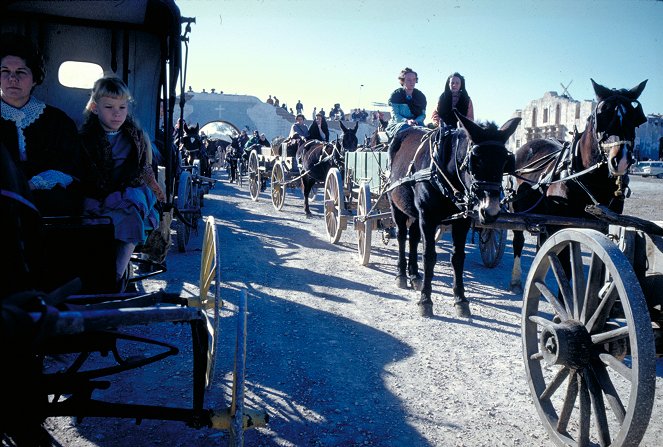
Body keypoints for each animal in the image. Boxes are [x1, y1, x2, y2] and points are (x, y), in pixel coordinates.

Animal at [386, 114, 520, 318]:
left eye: (505, 161)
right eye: (475, 160)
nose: (490, 210)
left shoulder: (462, 221)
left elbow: (457, 258)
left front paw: (461, 299)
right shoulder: (428, 218)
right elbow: (429, 256)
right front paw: (425, 300)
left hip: (415, 214)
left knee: (413, 238)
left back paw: (415, 275)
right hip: (397, 206)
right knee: (402, 236)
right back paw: (401, 274)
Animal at [508, 78, 648, 292]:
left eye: (635, 118)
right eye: (602, 115)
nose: (622, 160)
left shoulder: (604, 229)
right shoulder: (561, 226)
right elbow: (565, 268)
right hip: (519, 210)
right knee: (518, 241)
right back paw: (516, 279)